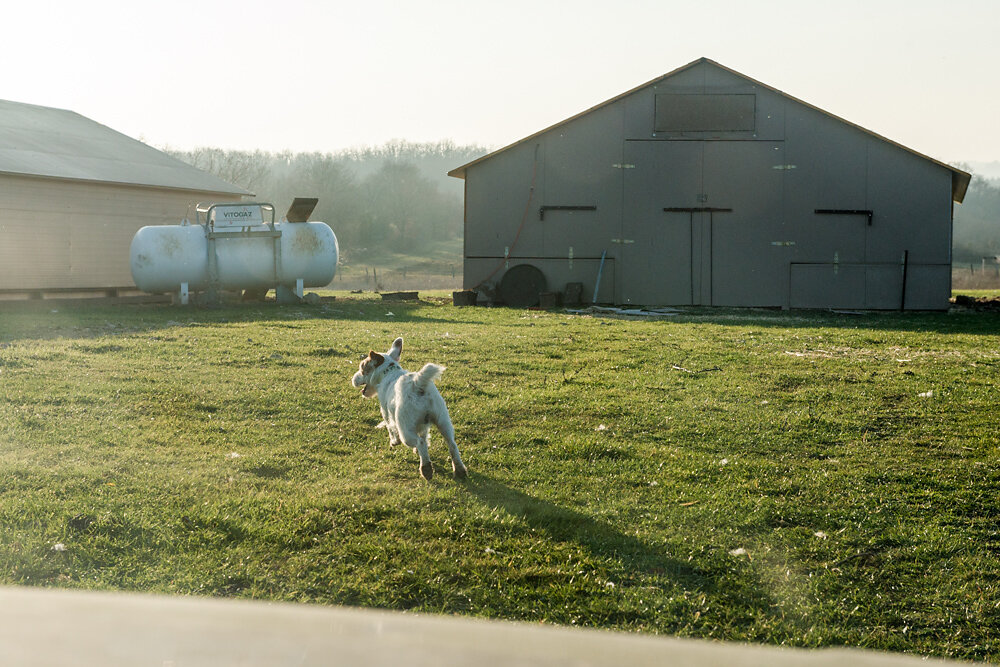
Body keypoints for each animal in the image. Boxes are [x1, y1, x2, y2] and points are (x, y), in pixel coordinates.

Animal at [352, 340, 468, 480]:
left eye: (362, 369)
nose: (353, 378)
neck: (389, 373)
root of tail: (417, 384)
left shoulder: (386, 414)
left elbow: (391, 429)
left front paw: (393, 442)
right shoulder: (423, 425)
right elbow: (424, 435)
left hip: (405, 431)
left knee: (420, 442)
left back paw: (426, 469)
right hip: (443, 421)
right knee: (451, 444)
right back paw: (459, 469)